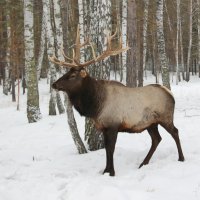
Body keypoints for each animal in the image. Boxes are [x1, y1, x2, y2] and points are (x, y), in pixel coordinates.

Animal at [49, 27, 184, 177]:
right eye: (67, 72)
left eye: (72, 75)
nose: (54, 84)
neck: (95, 106)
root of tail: (170, 93)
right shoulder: (104, 127)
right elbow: (107, 149)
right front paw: (105, 171)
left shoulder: (113, 125)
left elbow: (111, 148)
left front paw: (112, 172)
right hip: (151, 123)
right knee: (157, 139)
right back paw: (143, 163)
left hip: (165, 117)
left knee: (175, 132)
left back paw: (181, 158)